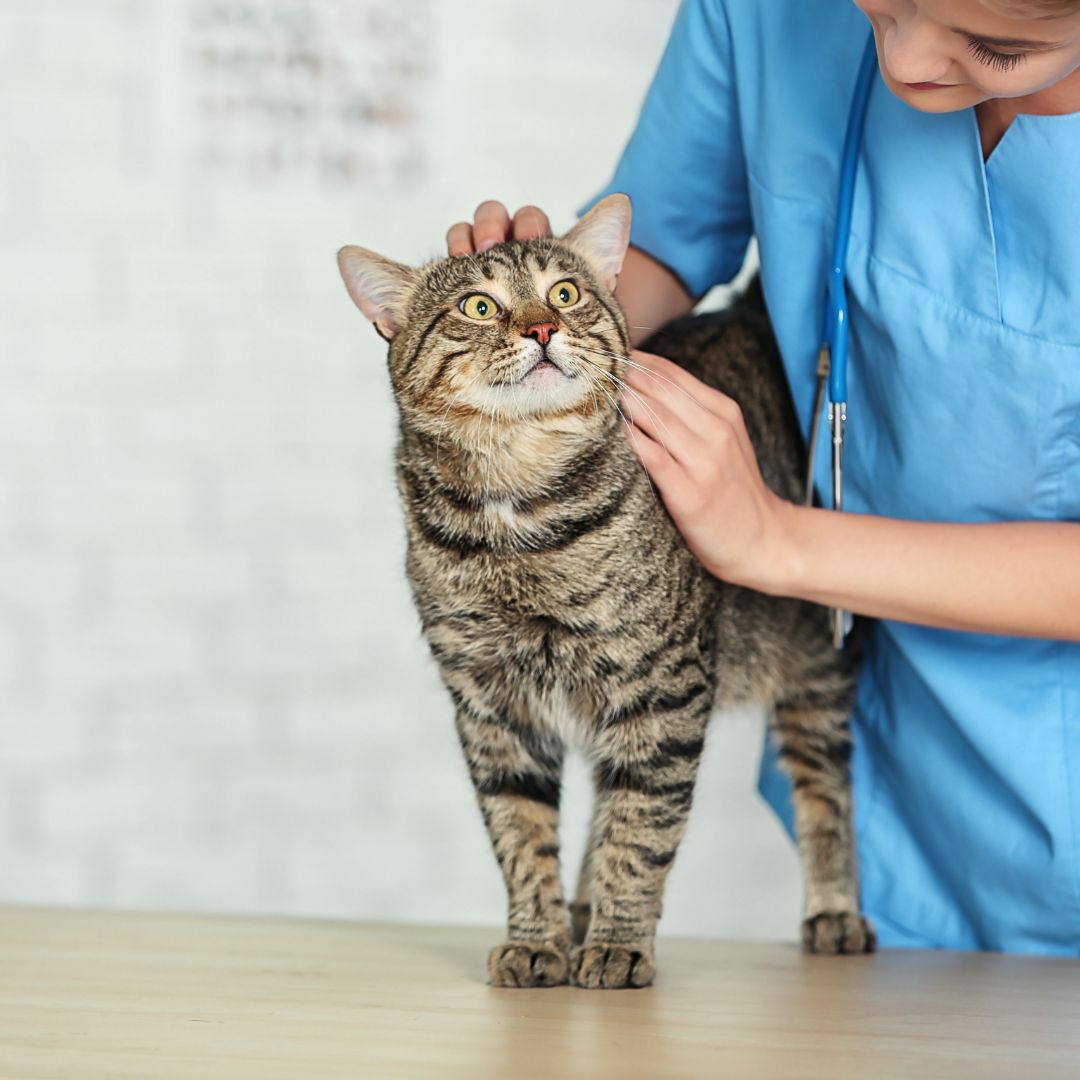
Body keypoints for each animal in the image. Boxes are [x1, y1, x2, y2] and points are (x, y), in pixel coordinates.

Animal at [336, 194, 876, 989]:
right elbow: (521, 836)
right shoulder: (492, 707)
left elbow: (641, 829)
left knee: (824, 787)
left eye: (564, 293)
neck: (518, 509)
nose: (542, 327)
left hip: (816, 664)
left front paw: (620, 943)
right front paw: (538, 939)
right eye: (478, 305)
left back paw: (832, 911)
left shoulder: (662, 690)